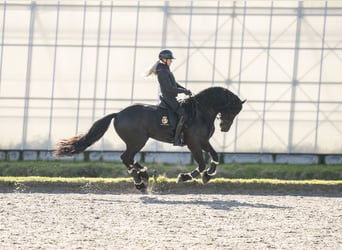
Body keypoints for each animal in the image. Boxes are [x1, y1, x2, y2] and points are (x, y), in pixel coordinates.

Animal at [54, 86, 244, 191]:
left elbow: (215, 156)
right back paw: (140, 182)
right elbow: (202, 163)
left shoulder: (203, 141)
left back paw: (143, 174)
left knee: (128, 158)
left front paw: (209, 175)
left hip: (136, 142)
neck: (201, 112)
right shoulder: (193, 143)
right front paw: (185, 177)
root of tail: (118, 114)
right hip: (137, 141)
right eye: (232, 109)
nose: (224, 128)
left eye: (236, 112)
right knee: (126, 157)